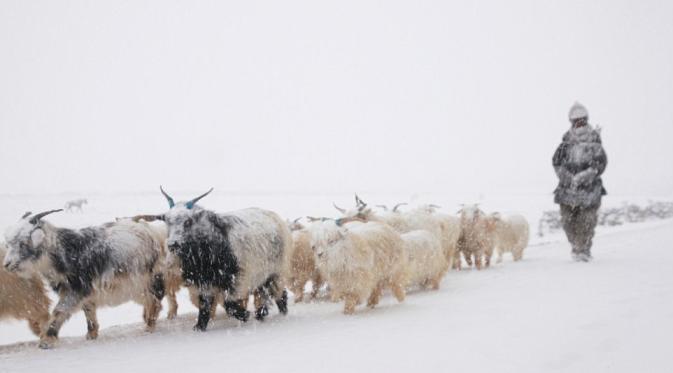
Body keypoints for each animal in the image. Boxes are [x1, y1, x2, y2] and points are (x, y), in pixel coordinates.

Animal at [3, 208, 166, 348]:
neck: (62, 253)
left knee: (154, 302)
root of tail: (153, 233)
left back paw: (149, 327)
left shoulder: (76, 289)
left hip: (141, 282)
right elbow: (88, 310)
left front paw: (47, 340)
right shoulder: (86, 292)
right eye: (9, 243)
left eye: (23, 243)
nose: (6, 264)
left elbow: (59, 310)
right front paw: (91, 334)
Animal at [142, 187, 292, 330]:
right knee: (265, 293)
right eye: (167, 221)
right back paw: (262, 315)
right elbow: (205, 305)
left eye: (188, 221)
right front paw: (199, 327)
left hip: (275, 272)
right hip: (263, 275)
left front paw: (244, 315)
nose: (173, 244)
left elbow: (229, 304)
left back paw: (278, 314)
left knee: (279, 293)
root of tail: (274, 216)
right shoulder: (203, 283)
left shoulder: (236, 280)